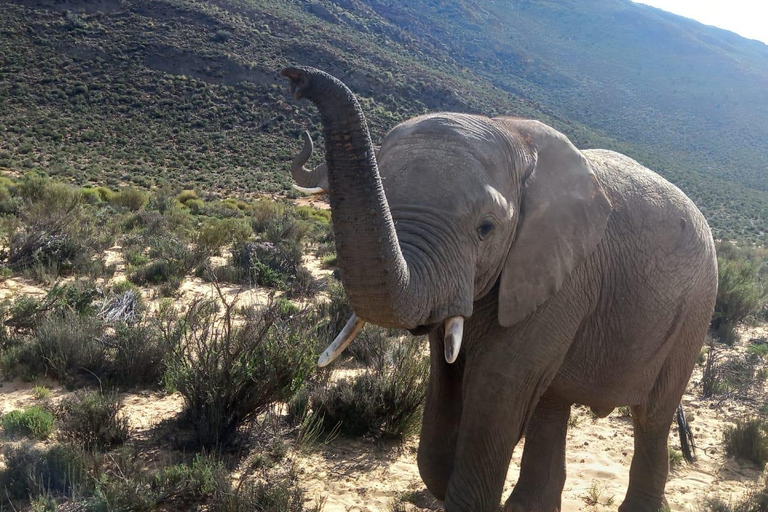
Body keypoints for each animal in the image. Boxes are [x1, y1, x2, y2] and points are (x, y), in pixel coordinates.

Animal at [282, 67, 720, 512]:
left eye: (486, 228)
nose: (296, 79)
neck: (513, 136)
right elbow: (446, 381)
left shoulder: (565, 276)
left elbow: (499, 387)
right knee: (553, 403)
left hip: (695, 311)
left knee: (652, 417)